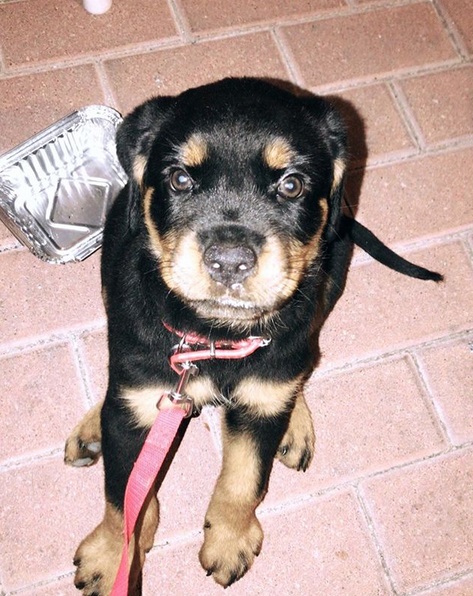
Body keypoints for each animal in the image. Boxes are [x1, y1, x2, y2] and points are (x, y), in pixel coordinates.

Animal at [64, 77, 440, 592]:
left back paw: (294, 422)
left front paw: (229, 542)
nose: (229, 262)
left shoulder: (260, 406)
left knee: (300, 362)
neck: (214, 335)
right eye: (180, 179)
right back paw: (91, 427)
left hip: (330, 276)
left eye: (291, 184)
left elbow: (244, 479)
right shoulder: (137, 404)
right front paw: (109, 557)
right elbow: (124, 497)